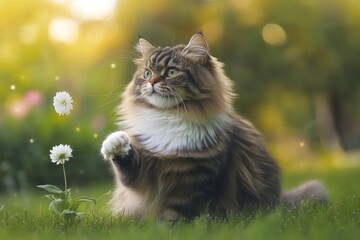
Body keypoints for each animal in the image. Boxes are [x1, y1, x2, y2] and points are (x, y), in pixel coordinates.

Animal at [100, 32, 328, 221]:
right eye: (147, 73)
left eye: (172, 72)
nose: (152, 82)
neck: (170, 117)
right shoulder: (141, 175)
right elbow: (125, 165)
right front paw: (115, 143)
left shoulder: (194, 181)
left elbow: (176, 214)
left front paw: (166, 228)